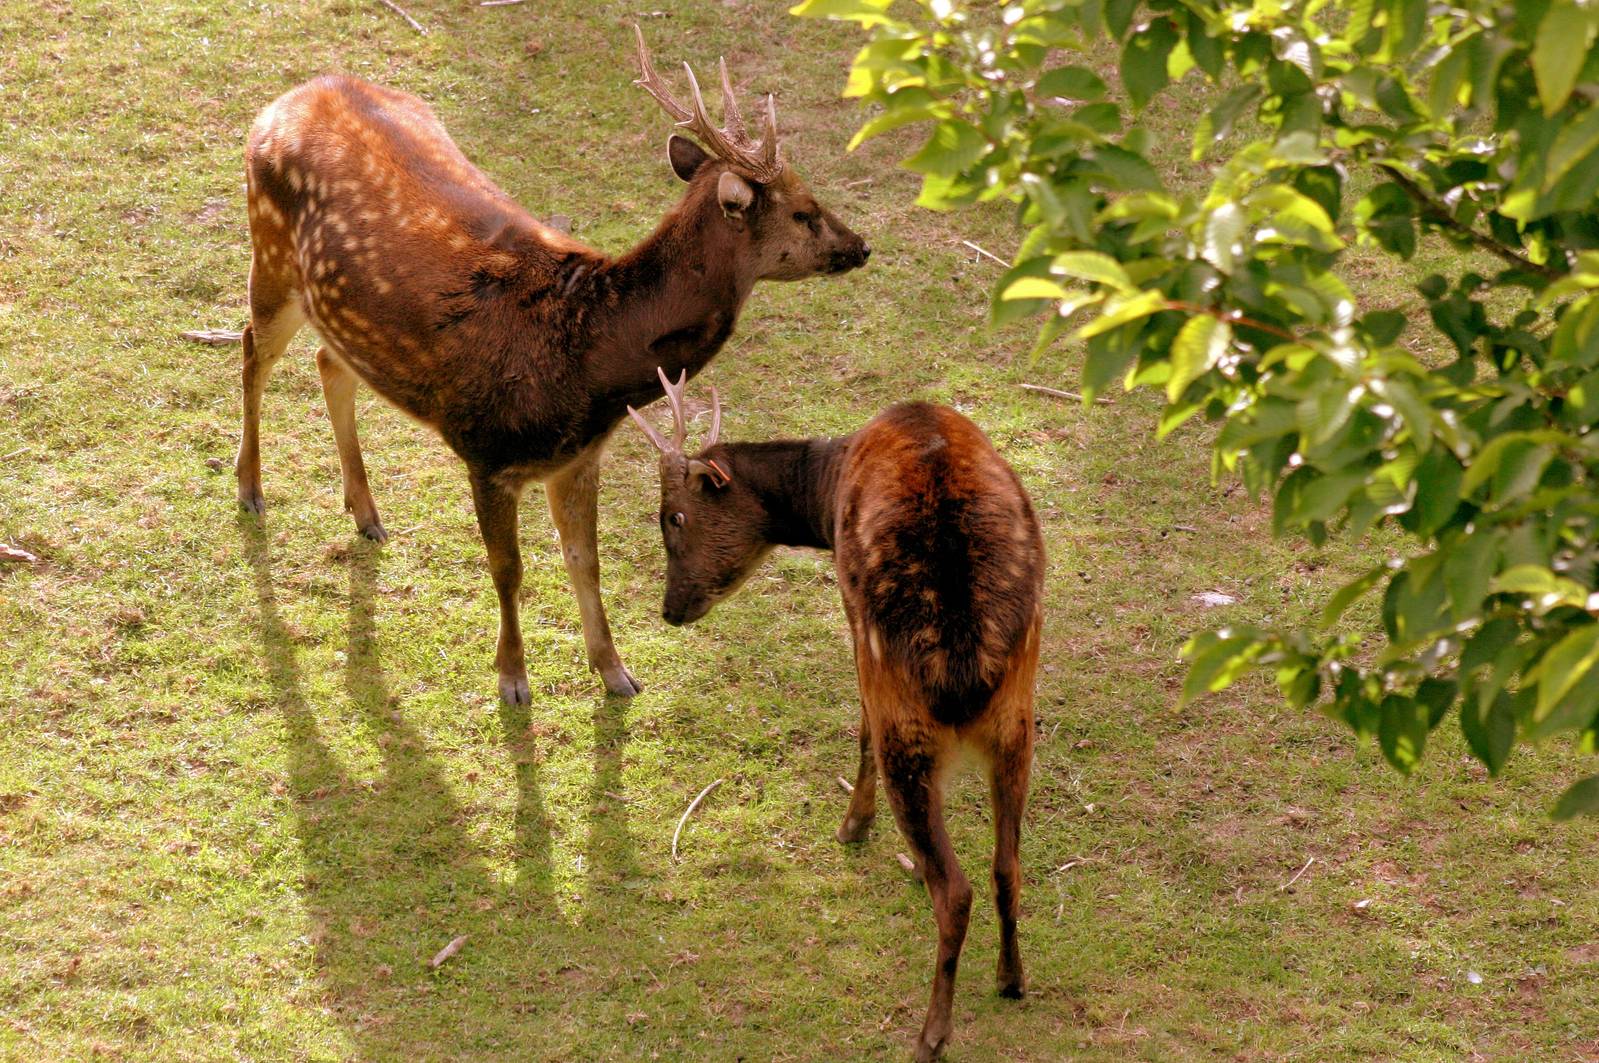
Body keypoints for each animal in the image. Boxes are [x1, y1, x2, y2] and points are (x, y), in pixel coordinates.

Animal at [234, 28, 869, 705]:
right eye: (804, 210)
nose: (860, 246)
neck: (591, 359)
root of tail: (288, 98)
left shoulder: (579, 457)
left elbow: (585, 562)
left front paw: (615, 671)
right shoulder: (485, 451)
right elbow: (507, 570)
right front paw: (512, 678)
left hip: (333, 305)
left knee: (329, 360)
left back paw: (367, 514)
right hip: (270, 251)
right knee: (251, 351)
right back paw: (250, 489)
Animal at [628, 374, 1045, 1062]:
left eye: (675, 516)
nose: (670, 609)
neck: (828, 489)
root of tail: (966, 664)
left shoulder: (853, 617)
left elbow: (859, 729)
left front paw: (852, 825)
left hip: (908, 716)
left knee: (955, 889)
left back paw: (931, 1032)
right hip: (1017, 718)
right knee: (1006, 864)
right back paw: (1011, 979)